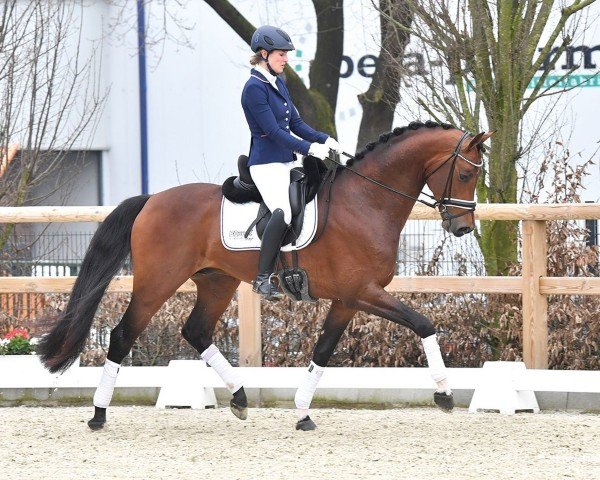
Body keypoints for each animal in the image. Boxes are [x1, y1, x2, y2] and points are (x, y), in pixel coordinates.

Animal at [37, 121, 490, 432]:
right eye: (467, 175)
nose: (462, 228)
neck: (367, 201)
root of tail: (152, 199)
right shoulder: (364, 292)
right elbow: (423, 324)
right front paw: (445, 393)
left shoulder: (347, 299)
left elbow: (322, 352)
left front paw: (303, 413)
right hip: (156, 283)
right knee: (122, 334)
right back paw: (98, 415)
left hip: (216, 281)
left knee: (196, 330)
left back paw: (239, 397)